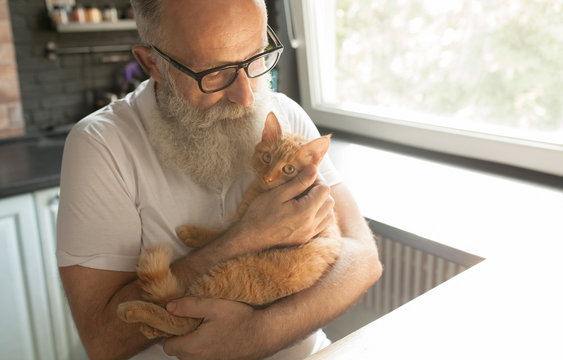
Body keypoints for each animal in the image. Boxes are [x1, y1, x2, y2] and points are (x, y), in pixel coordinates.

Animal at [117, 112, 342, 338]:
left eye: (289, 169)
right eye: (267, 157)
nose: (268, 177)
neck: (260, 191)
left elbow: (218, 233)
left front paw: (190, 233)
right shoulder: (240, 220)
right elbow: (221, 233)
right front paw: (193, 235)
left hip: (222, 277)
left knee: (183, 319)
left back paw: (133, 311)